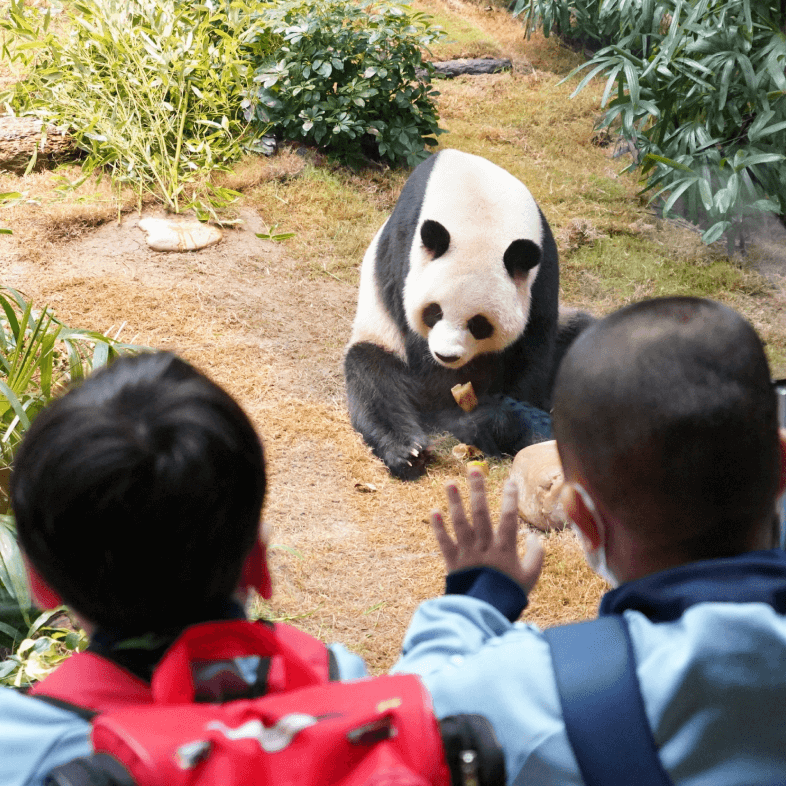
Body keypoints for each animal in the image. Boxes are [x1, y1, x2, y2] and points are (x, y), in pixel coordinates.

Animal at [344, 149, 580, 480]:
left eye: (479, 324)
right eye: (433, 312)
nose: (447, 356)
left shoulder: (543, 270)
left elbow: (532, 348)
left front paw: (516, 419)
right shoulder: (405, 255)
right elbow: (426, 374)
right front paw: (480, 419)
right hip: (378, 331)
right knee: (373, 379)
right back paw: (409, 452)